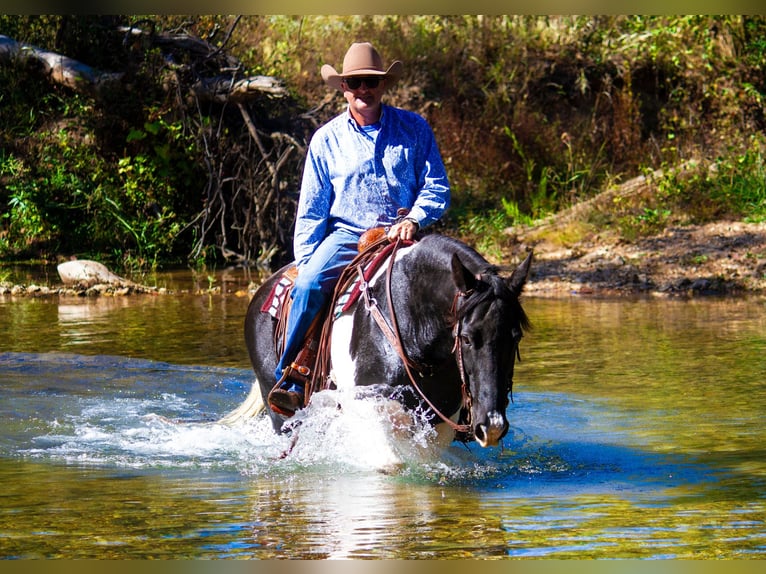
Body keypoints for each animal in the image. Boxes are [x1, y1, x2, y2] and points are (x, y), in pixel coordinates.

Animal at [243, 234, 532, 450]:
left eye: (515, 337)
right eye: (466, 338)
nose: (492, 426)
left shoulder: (438, 422)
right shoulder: (371, 407)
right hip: (281, 412)